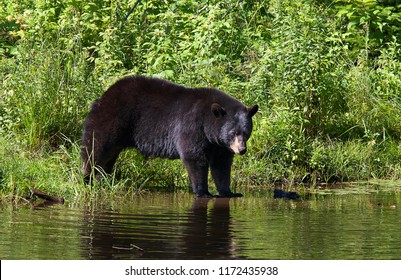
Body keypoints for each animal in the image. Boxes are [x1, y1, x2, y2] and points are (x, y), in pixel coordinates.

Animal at [81, 75, 258, 198]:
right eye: (232, 133)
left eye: (246, 132)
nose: (242, 150)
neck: (207, 123)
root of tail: (103, 96)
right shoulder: (192, 126)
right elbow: (194, 157)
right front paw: (203, 192)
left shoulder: (219, 144)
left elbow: (221, 164)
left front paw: (229, 192)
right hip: (111, 120)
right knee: (96, 148)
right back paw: (89, 178)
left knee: (108, 156)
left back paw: (104, 177)